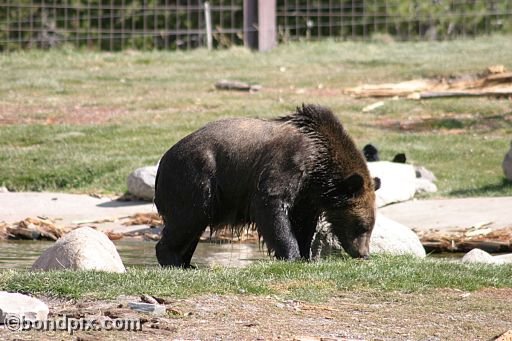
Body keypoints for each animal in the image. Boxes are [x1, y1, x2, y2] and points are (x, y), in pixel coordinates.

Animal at [155, 103, 380, 266]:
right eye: (362, 226)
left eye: (370, 226)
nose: (364, 253)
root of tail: (163, 161)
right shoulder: (288, 162)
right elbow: (271, 204)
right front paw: (292, 255)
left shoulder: (306, 193)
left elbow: (303, 222)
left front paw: (306, 255)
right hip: (196, 179)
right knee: (187, 219)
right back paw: (172, 259)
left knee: (193, 227)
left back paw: (187, 262)